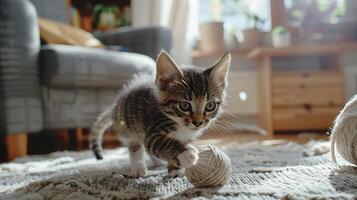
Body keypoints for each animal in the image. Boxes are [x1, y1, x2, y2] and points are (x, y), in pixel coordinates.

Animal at [89, 51, 231, 177]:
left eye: (210, 105)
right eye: (184, 105)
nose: (198, 122)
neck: (180, 126)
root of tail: (116, 105)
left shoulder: (185, 137)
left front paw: (174, 169)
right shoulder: (152, 131)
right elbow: (162, 144)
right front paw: (185, 154)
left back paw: (157, 162)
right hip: (129, 128)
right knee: (135, 147)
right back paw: (138, 167)